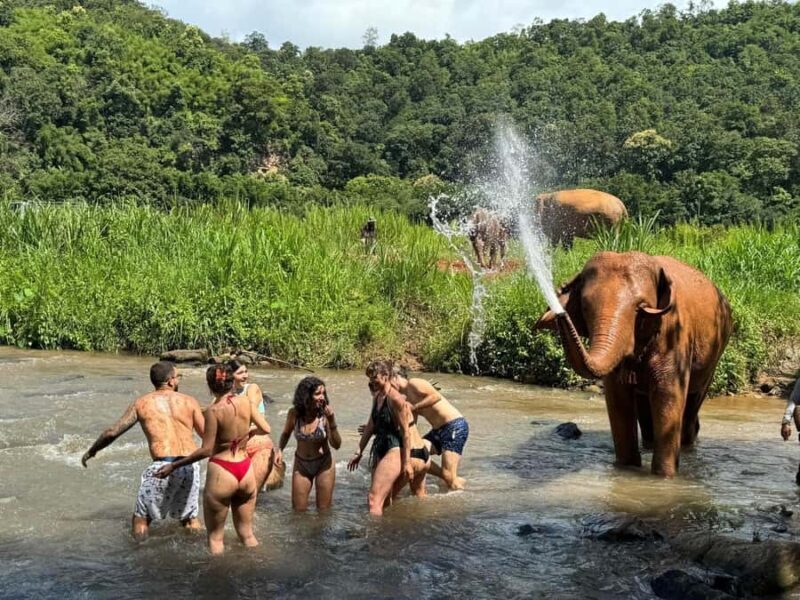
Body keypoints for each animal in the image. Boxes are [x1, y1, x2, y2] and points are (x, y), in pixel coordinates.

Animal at [535, 251, 732, 477]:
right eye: (585, 307)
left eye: (640, 309)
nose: (559, 311)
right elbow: (617, 399)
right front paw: (626, 469)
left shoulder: (676, 334)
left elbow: (668, 396)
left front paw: (664, 478)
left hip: (715, 351)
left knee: (692, 407)